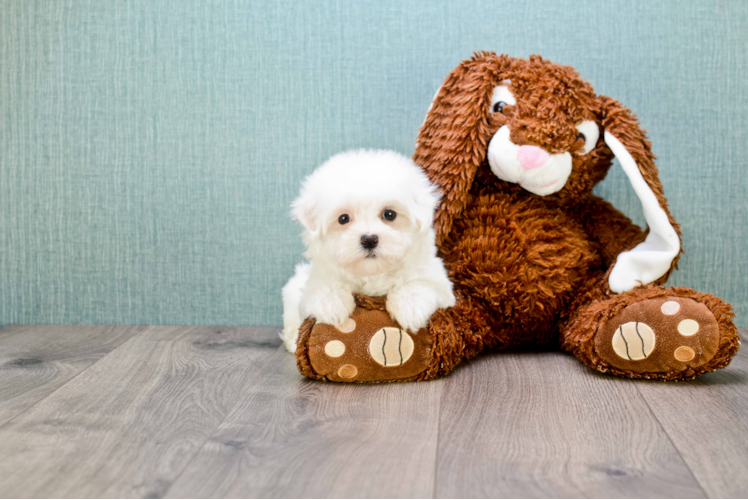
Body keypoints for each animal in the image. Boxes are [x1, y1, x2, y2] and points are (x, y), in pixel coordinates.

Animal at [282, 148, 452, 352]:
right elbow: (325, 287)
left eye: (389, 214)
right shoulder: (317, 279)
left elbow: (420, 283)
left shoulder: (437, 281)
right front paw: (331, 305)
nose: (369, 240)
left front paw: (410, 307)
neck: (373, 273)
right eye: (343, 218)